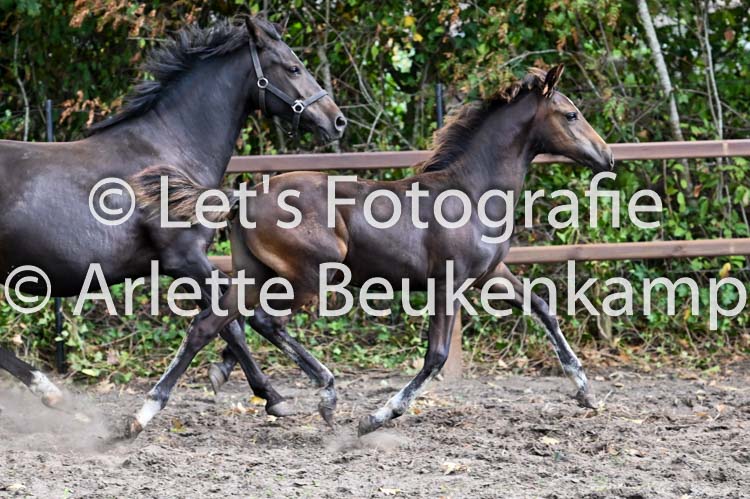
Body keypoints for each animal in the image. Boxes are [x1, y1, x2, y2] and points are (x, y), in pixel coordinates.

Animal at [0, 16, 346, 434]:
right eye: (293, 68)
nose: (337, 120)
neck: (170, 153)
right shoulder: (186, 259)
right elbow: (236, 320)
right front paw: (282, 393)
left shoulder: (184, 265)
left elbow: (231, 320)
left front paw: (253, 387)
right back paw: (54, 395)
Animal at [133, 64, 613, 435]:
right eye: (571, 114)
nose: (606, 156)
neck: (472, 193)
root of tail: (243, 197)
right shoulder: (449, 283)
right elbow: (436, 357)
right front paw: (377, 417)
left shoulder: (490, 275)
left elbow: (543, 307)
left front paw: (586, 392)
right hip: (311, 275)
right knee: (265, 321)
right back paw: (326, 396)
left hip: (257, 274)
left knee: (208, 324)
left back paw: (142, 416)